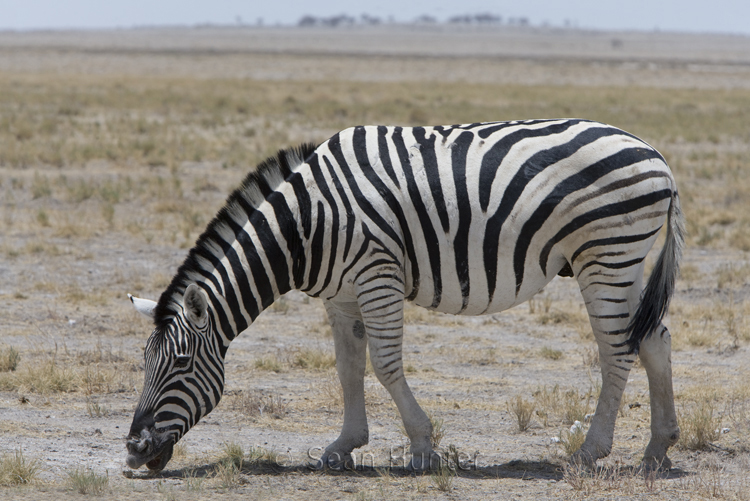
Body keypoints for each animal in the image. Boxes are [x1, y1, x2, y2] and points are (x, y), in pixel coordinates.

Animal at [125, 118, 683, 472]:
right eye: (143, 365)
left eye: (179, 365)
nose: (132, 451)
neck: (305, 226)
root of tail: (656, 154)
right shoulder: (341, 295)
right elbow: (348, 368)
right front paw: (344, 446)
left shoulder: (378, 276)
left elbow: (385, 365)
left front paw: (421, 447)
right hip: (626, 261)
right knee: (654, 338)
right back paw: (658, 448)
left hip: (605, 255)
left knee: (617, 349)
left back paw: (591, 451)